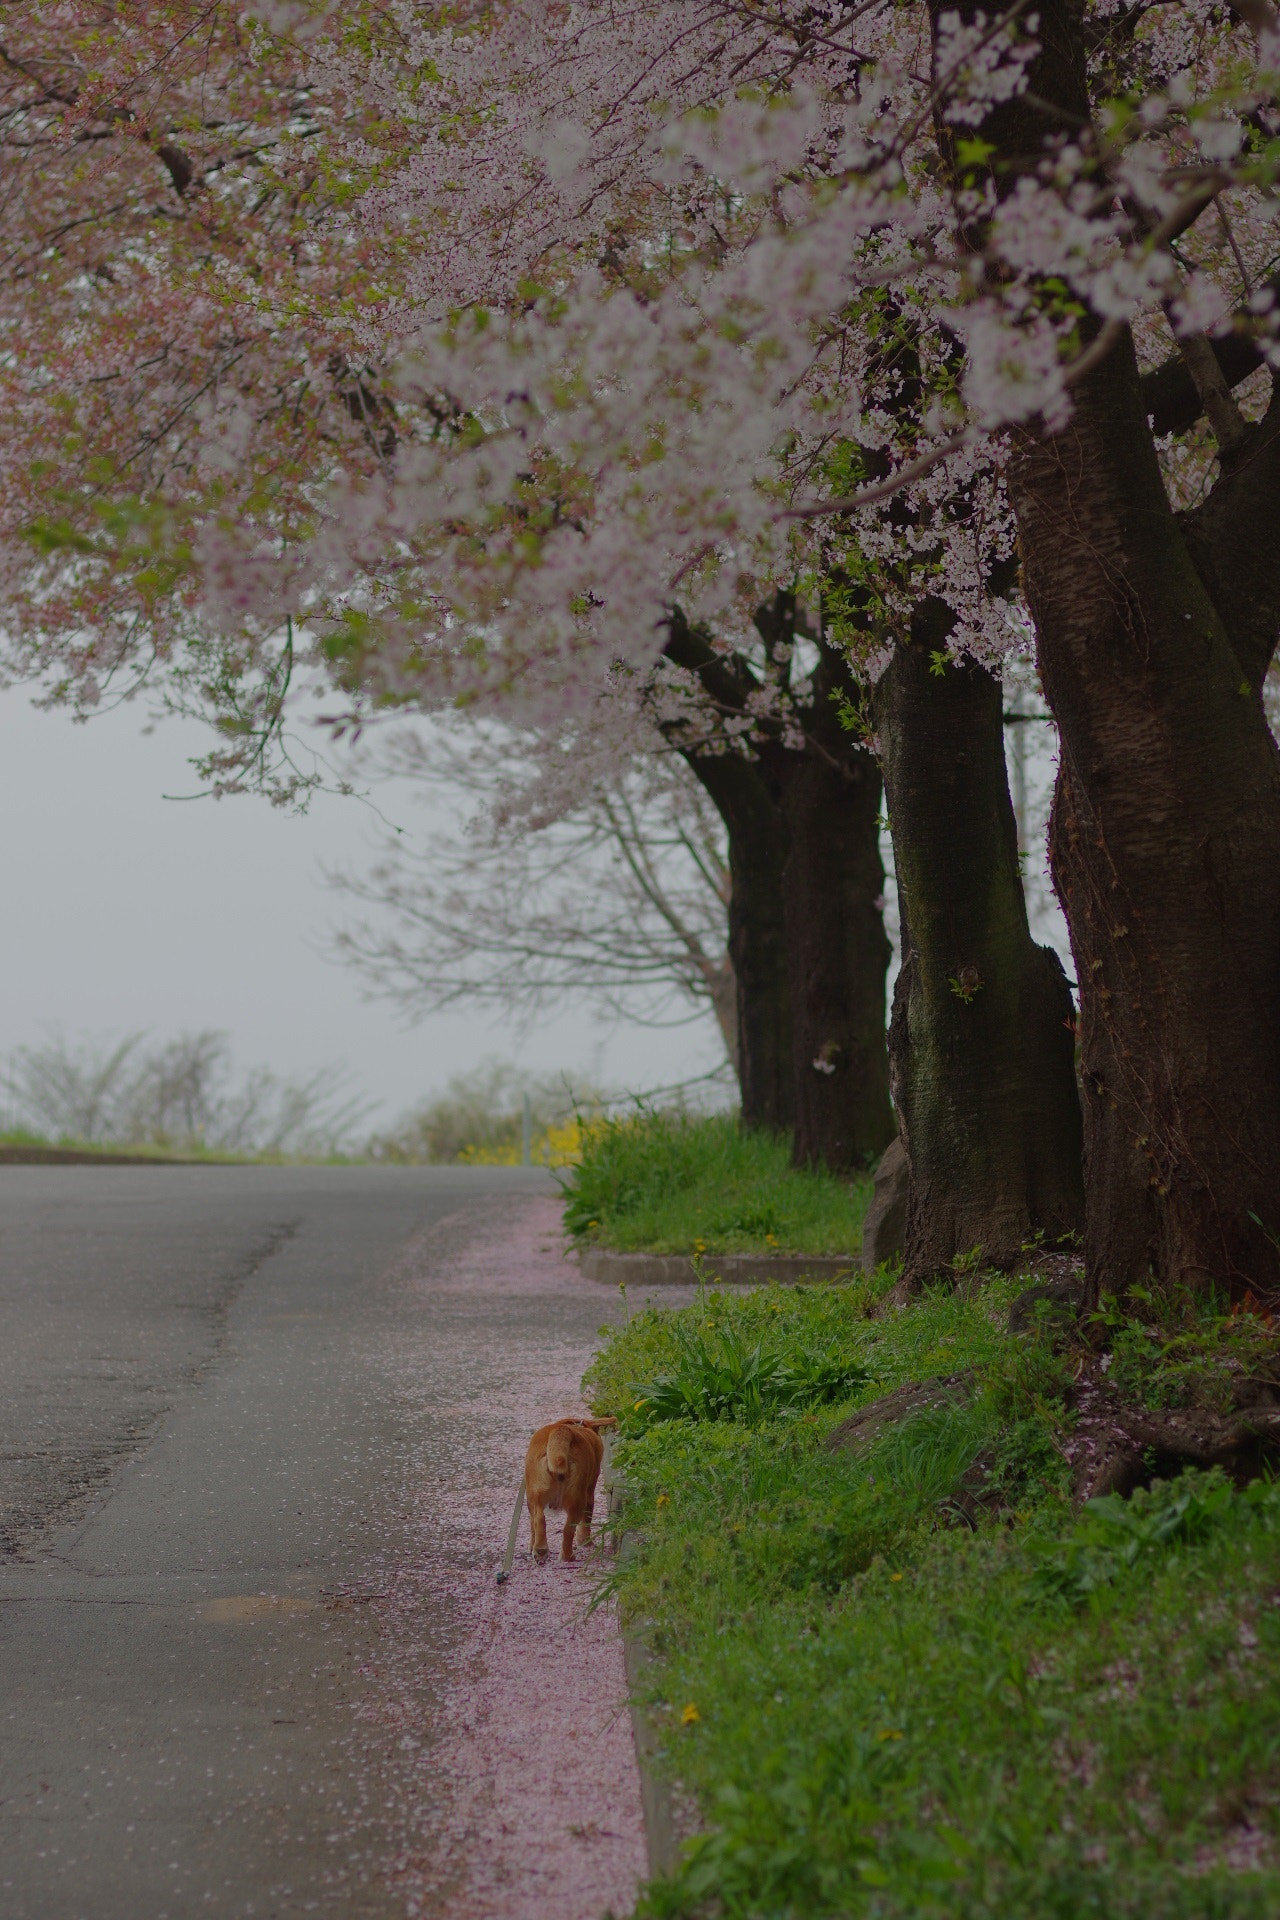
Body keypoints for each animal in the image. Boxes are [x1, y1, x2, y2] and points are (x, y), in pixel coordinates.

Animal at [525, 1413, 614, 1559]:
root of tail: (562, 1431)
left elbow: (533, 1527)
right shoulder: (589, 1493)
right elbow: (586, 1522)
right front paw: (585, 1541)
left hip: (535, 1497)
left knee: (539, 1520)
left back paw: (541, 1550)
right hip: (577, 1500)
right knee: (568, 1529)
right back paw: (567, 1556)